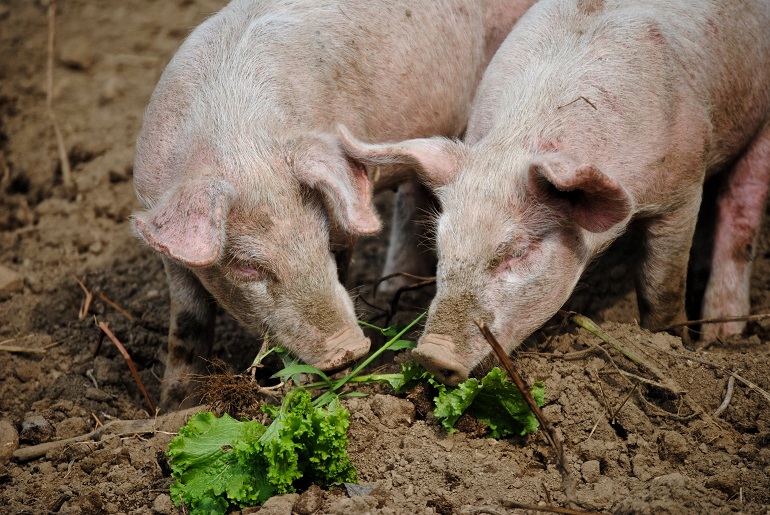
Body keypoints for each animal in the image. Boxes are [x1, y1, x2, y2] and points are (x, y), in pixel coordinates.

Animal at [130, 0, 536, 412]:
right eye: (245, 265)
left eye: (323, 240)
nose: (350, 347)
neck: (240, 143)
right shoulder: (167, 241)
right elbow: (187, 325)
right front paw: (174, 408)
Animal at [340, 0, 768, 388]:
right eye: (442, 246)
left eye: (518, 251)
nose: (432, 354)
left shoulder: (684, 188)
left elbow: (660, 286)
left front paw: (672, 342)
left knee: (741, 208)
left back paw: (723, 336)